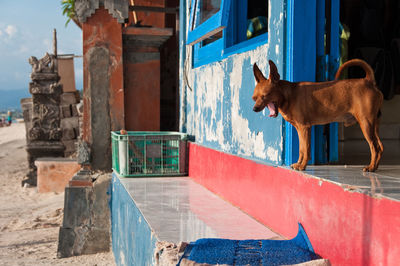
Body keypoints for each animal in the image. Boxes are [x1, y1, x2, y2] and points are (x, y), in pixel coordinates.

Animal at [253, 59, 384, 171]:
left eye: (265, 96)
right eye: (254, 98)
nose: (254, 109)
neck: (290, 95)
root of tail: (368, 81)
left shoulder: (305, 128)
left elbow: (306, 149)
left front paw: (303, 166)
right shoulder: (300, 129)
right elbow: (301, 149)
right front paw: (299, 164)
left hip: (365, 124)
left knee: (374, 147)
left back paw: (371, 167)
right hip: (374, 126)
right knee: (380, 146)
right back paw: (375, 167)